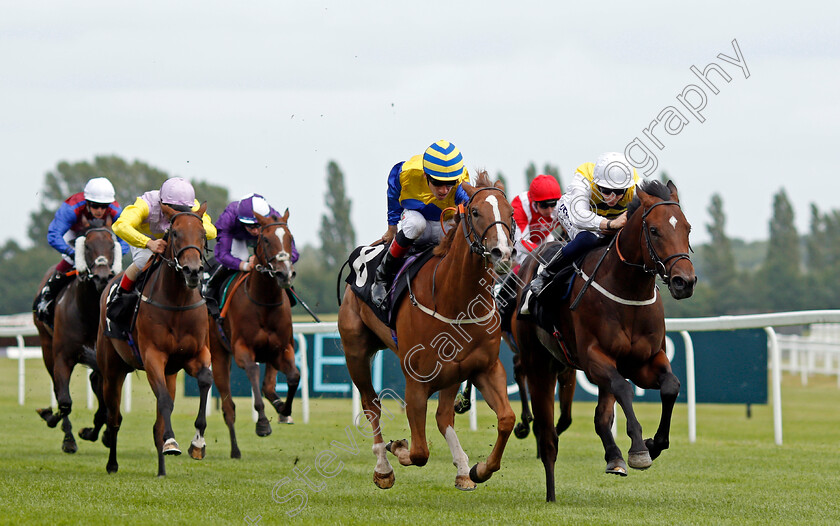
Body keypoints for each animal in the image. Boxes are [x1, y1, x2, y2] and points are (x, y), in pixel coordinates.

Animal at [33, 221, 122, 456]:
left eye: (112, 245)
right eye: (87, 246)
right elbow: (64, 401)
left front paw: (98, 433)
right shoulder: (63, 357)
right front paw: (66, 435)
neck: (89, 312)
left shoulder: (104, 361)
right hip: (46, 346)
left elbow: (104, 405)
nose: (102, 277)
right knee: (58, 389)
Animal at [96, 205, 213, 478]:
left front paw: (198, 443)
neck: (177, 302)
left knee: (155, 423)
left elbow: (205, 380)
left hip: (169, 372)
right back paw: (112, 464)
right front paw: (172, 442)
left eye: (202, 233)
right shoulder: (153, 357)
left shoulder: (196, 354)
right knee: (114, 418)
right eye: (175, 233)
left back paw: (161, 470)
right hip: (112, 370)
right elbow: (165, 401)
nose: (193, 271)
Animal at [208, 208, 300, 460]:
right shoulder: (242, 349)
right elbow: (252, 372)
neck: (264, 302)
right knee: (228, 408)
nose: (284, 274)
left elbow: (293, 377)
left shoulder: (282, 349)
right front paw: (262, 423)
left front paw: (285, 408)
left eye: (290, 238)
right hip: (218, 353)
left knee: (268, 386)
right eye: (266, 239)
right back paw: (235, 450)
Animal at [338, 171, 516, 492]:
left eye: (510, 213)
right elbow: (419, 451)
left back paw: (462, 469)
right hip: (355, 351)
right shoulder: (416, 382)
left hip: (452, 373)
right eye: (475, 212)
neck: (454, 300)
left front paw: (480, 469)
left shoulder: (485, 368)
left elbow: (507, 418)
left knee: (444, 416)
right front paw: (398, 448)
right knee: (372, 405)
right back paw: (383, 466)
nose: (502, 252)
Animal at [516, 182, 700, 504]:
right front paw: (638, 448)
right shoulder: (594, 358)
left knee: (601, 416)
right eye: (654, 230)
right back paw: (551, 491)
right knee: (547, 432)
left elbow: (671, 386)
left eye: (687, 228)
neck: (629, 291)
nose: (684, 282)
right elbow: (624, 388)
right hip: (539, 363)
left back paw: (613, 457)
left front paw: (653, 444)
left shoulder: (645, 360)